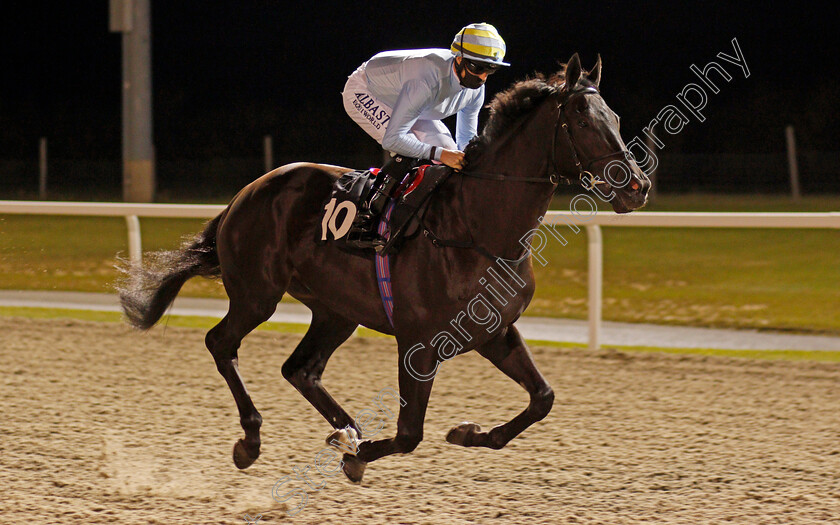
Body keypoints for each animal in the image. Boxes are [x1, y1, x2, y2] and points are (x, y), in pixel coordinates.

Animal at [118, 54, 648, 484]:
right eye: (582, 119)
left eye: (616, 117)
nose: (637, 186)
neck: (477, 229)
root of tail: (245, 193)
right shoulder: (418, 342)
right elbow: (410, 433)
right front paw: (360, 455)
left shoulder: (495, 331)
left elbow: (543, 398)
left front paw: (466, 432)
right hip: (256, 293)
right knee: (221, 343)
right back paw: (253, 441)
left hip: (335, 310)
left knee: (300, 369)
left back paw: (345, 430)